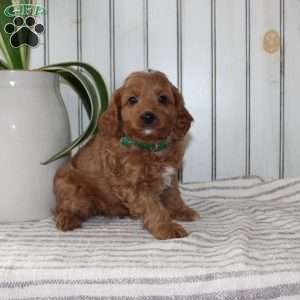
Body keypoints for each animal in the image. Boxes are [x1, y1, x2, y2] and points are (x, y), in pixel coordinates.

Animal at [54, 69, 199, 239]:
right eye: (132, 100)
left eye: (163, 98)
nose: (148, 116)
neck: (151, 147)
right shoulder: (134, 185)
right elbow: (154, 207)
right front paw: (166, 228)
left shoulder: (170, 176)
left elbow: (174, 196)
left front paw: (182, 211)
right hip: (73, 190)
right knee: (62, 209)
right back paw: (67, 219)